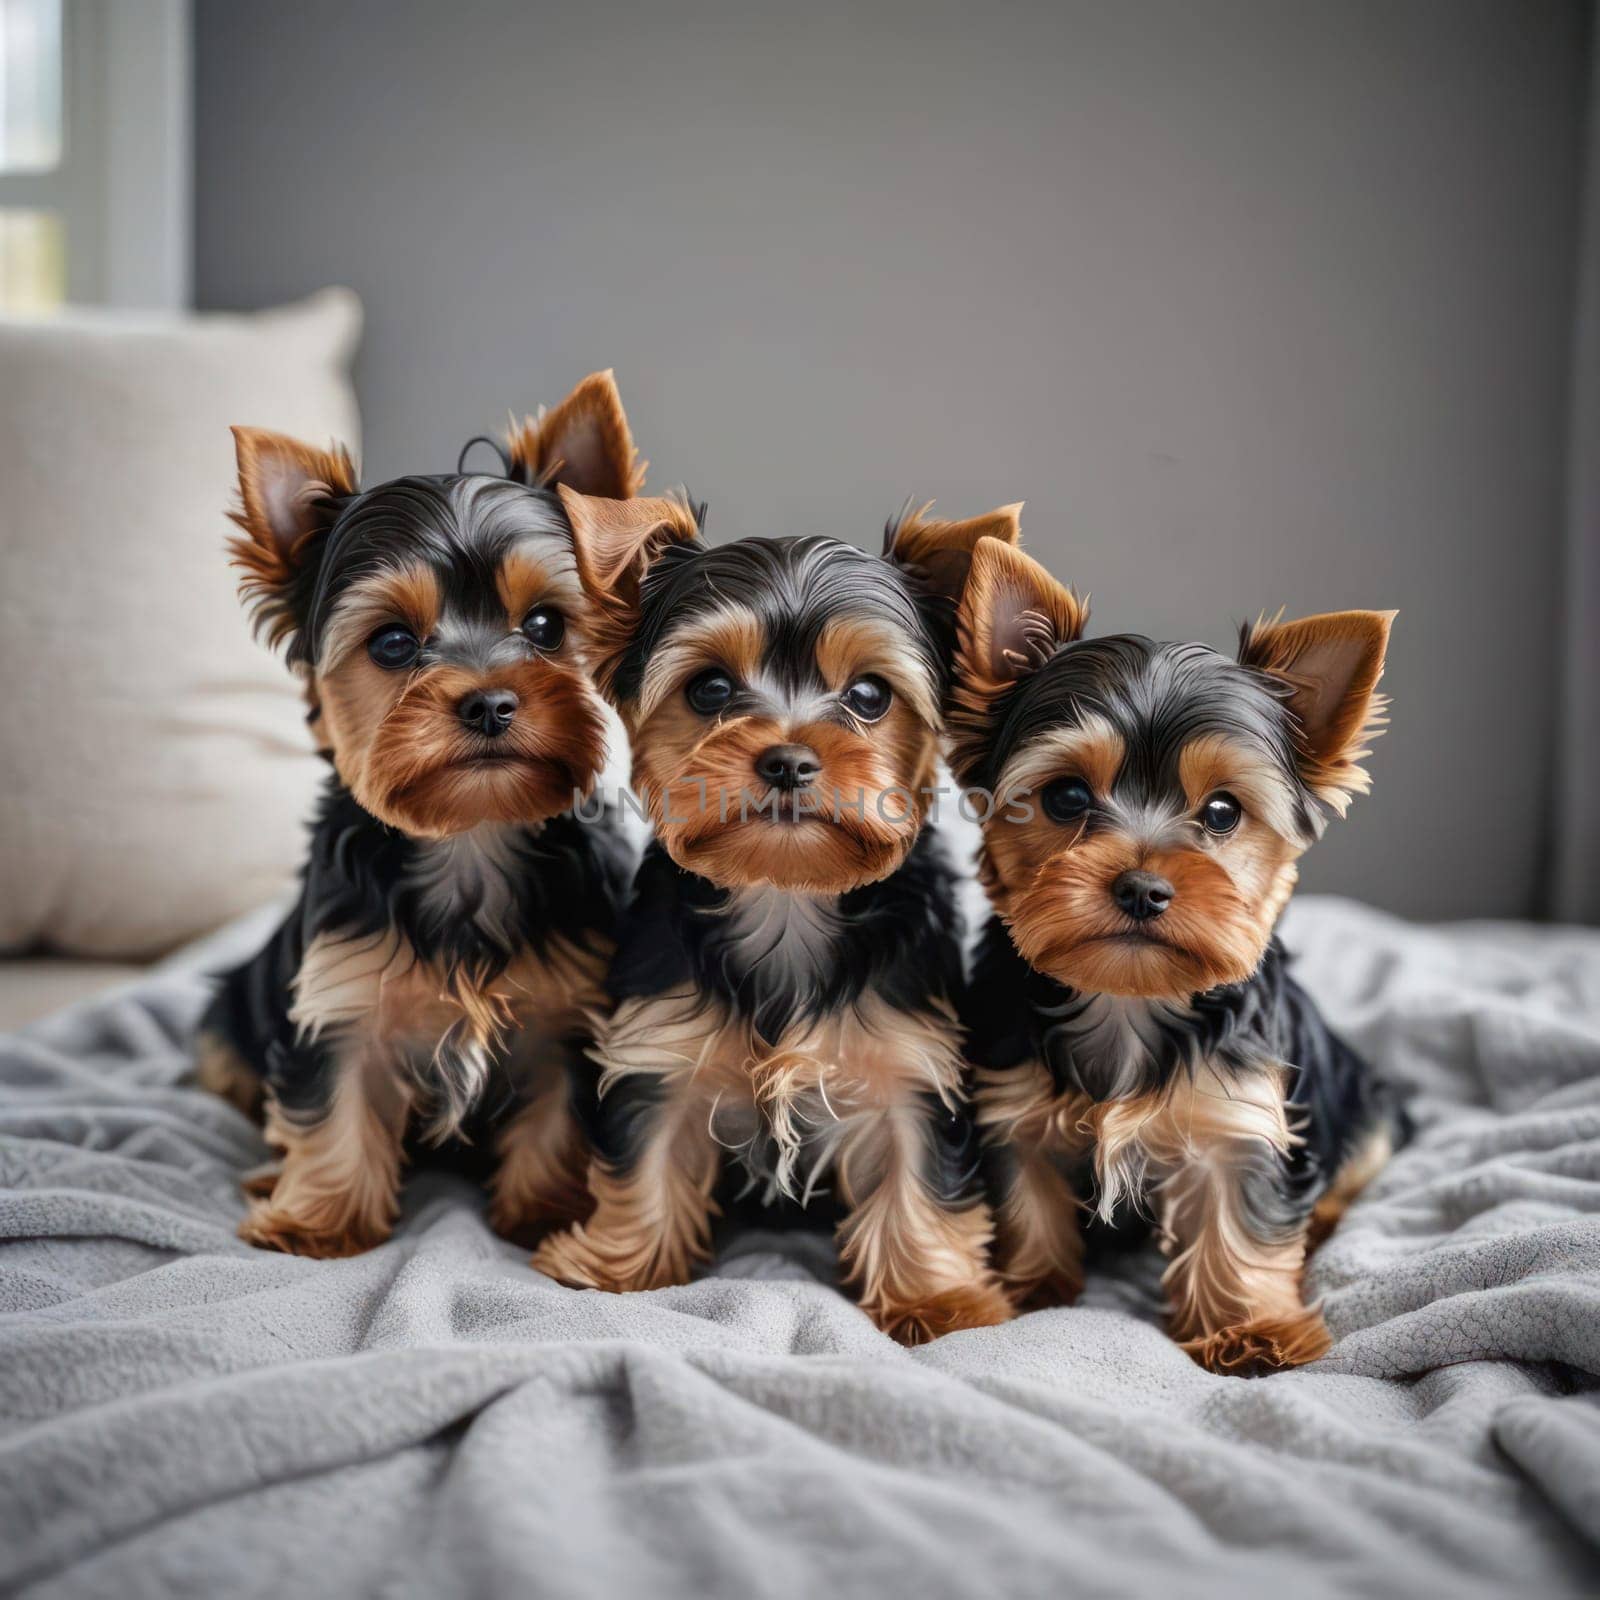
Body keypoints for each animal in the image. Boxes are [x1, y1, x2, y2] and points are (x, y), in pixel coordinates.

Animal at [200, 371, 643, 1248]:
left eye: (545, 624)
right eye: (394, 644)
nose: (489, 703)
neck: (471, 836)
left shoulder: (570, 1006)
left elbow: (559, 1110)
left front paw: (546, 1210)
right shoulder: (338, 997)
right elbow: (331, 1104)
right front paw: (321, 1222)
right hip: (239, 1001)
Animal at [531, 496, 1017, 1337]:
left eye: (869, 696)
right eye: (710, 689)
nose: (787, 761)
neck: (786, 895)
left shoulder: (912, 1056)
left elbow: (920, 1175)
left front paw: (936, 1296)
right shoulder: (659, 1044)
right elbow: (645, 1156)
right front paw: (617, 1270)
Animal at [940, 540, 1408, 1376]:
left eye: (1222, 811)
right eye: (1065, 797)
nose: (1142, 887)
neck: (1129, 998)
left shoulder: (1239, 1115)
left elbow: (1241, 1220)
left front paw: (1252, 1330)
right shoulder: (1013, 1106)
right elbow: (1028, 1198)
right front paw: (1035, 1290)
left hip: (1367, 1103)